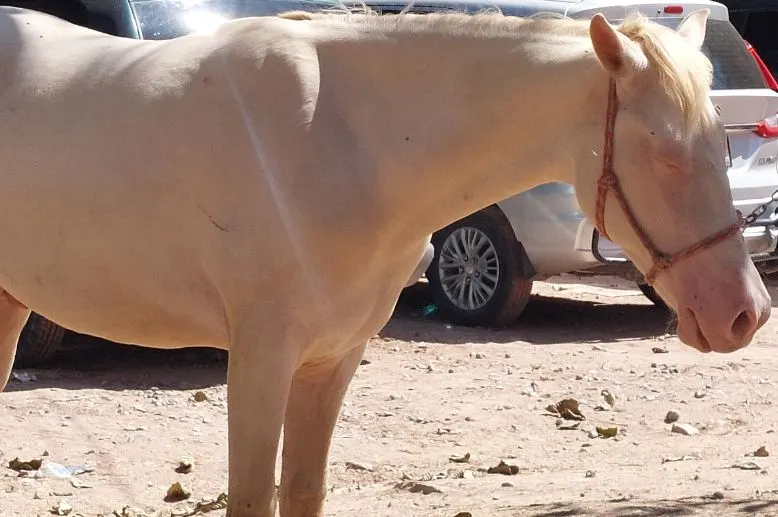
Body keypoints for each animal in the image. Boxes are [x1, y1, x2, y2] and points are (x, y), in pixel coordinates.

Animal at [0, 5, 769, 516]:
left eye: (722, 143)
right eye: (667, 153)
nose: (746, 313)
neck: (343, 141)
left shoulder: (332, 359)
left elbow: (303, 492)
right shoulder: (259, 359)